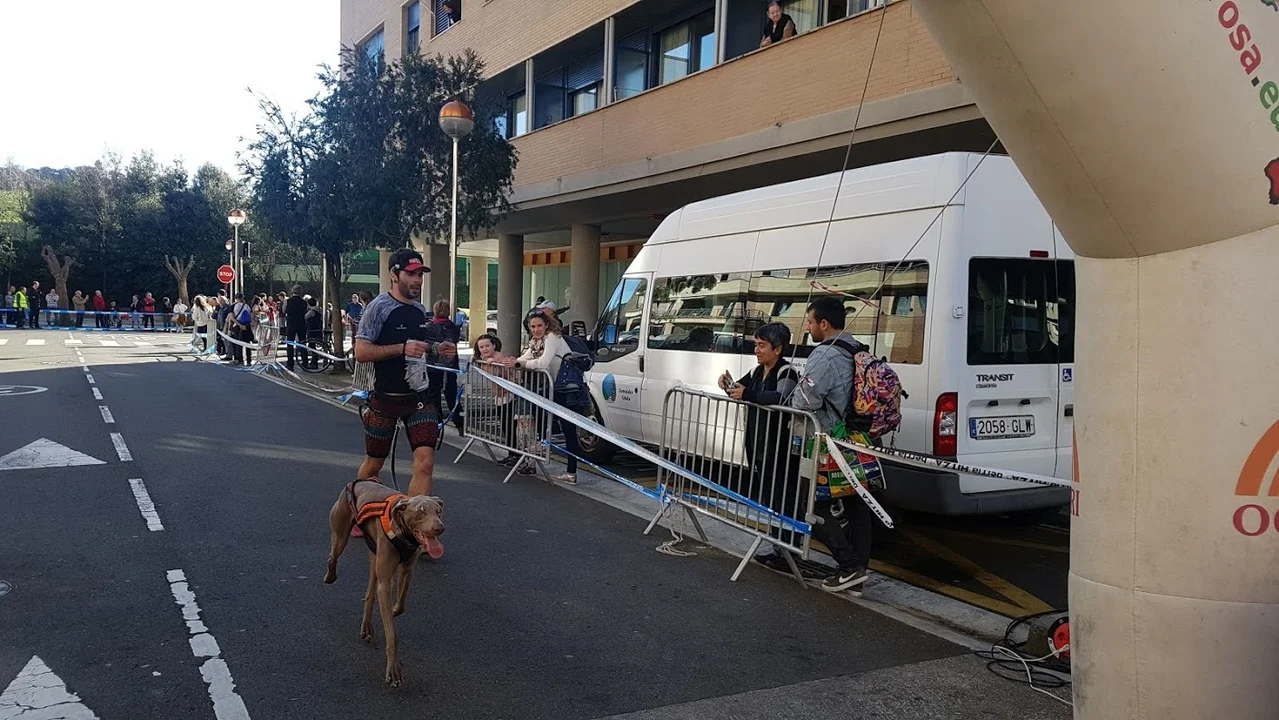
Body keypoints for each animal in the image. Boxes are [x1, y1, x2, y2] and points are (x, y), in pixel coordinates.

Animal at [324, 477, 445, 687]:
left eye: (438, 511)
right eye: (421, 511)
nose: (440, 528)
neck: (404, 533)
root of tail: (359, 482)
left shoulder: (406, 569)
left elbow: (402, 603)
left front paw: (395, 610)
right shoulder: (386, 582)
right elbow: (392, 634)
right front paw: (394, 670)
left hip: (374, 555)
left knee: (370, 593)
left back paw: (367, 626)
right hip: (341, 534)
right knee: (333, 556)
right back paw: (330, 576)